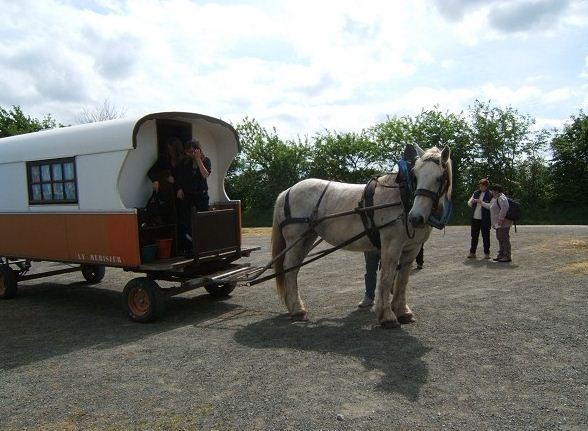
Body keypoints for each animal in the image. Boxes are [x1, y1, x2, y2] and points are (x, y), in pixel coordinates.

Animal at [268, 143, 452, 330]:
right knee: (290, 268)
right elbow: (386, 278)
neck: (403, 197)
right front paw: (387, 316)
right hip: (295, 239)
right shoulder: (391, 245)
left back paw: (295, 307)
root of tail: (288, 191)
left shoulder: (412, 249)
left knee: (294, 269)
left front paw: (403, 312)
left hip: (307, 238)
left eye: (439, 178)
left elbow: (402, 280)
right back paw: (297, 310)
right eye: (415, 175)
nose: (415, 218)